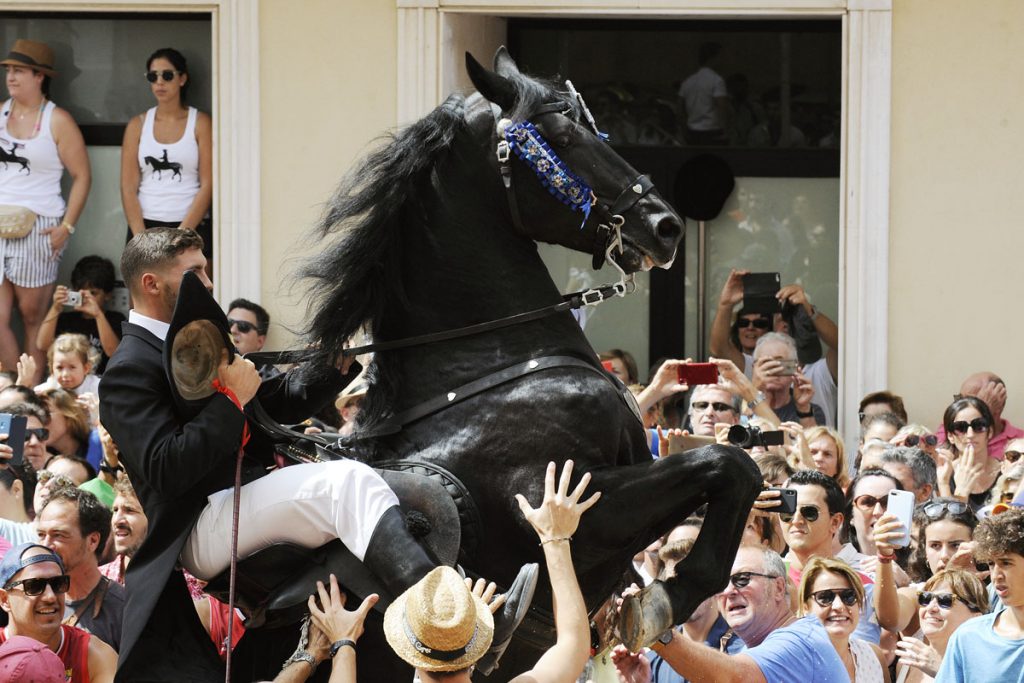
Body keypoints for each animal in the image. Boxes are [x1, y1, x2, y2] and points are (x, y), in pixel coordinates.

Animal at [292, 48, 765, 679]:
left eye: (596, 128)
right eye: (562, 136)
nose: (666, 226)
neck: (487, 371)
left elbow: (733, 468)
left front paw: (650, 603)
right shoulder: (574, 505)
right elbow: (729, 463)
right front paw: (667, 596)